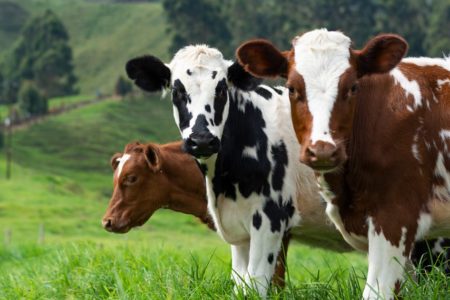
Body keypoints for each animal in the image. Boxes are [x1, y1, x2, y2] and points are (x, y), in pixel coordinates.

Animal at [125, 45, 318, 296]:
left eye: (222, 89)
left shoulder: (272, 219)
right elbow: (240, 284)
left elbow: (258, 284)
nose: (202, 140)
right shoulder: (240, 232)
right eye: (177, 91)